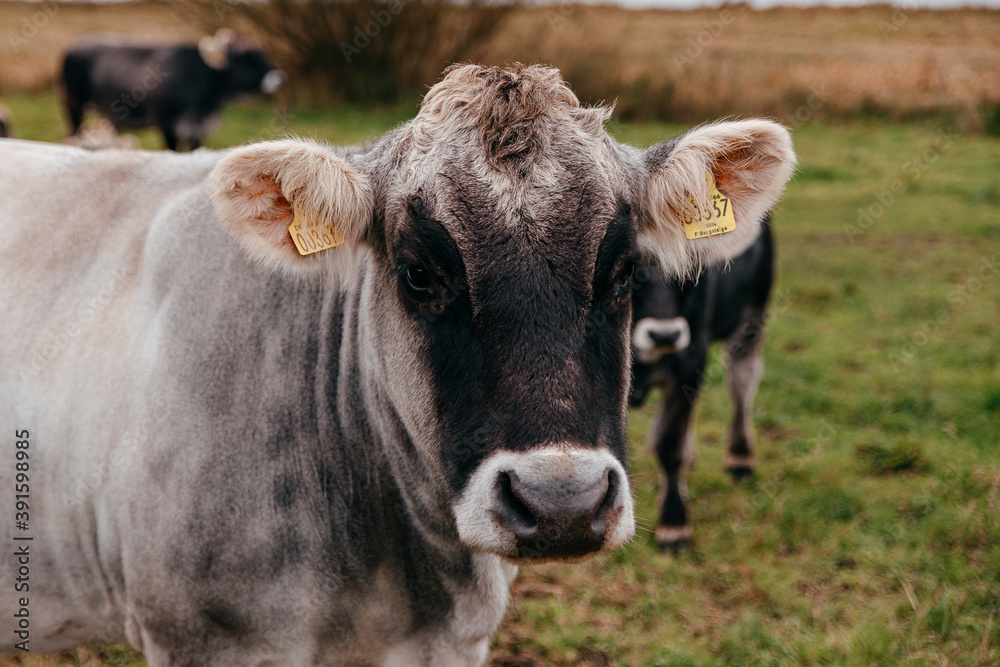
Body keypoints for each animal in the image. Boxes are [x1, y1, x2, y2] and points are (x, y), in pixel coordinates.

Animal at [61, 29, 286, 151]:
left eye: (261, 53)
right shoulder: (167, 123)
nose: (278, 77)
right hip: (73, 105)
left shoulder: (199, 129)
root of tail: (78, 43)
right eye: (244, 57)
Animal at [628, 220, 776, 552]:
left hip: (754, 310)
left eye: (689, 261)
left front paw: (674, 524)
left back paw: (740, 456)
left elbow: (669, 443)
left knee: (742, 381)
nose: (664, 335)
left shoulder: (690, 358)